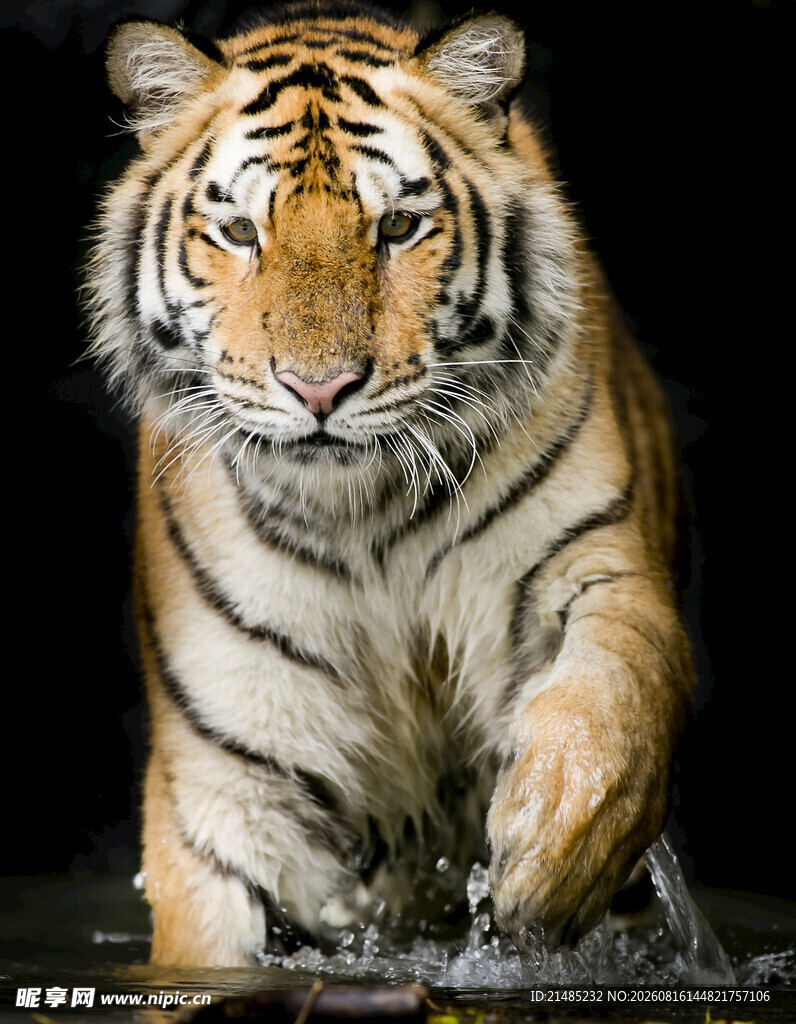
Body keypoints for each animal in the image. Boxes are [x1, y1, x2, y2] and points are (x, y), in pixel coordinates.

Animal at [84, 0, 694, 967]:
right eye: (240, 233)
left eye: (398, 227)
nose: (319, 388)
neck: (361, 517)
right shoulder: (232, 778)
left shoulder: (589, 558)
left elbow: (619, 686)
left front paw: (554, 843)